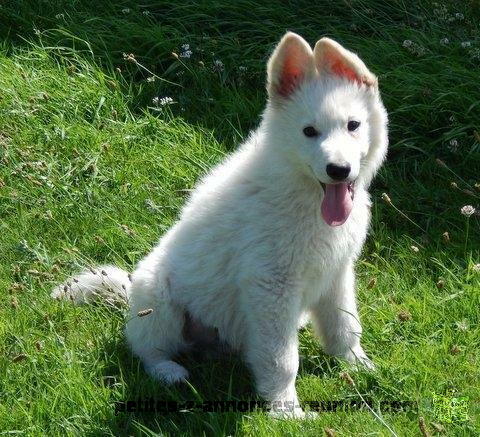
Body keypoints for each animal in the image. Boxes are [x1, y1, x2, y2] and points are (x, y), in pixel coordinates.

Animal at [52, 33, 388, 416]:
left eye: (353, 125)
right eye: (309, 132)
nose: (339, 170)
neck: (304, 195)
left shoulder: (337, 272)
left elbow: (344, 325)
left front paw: (358, 365)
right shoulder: (271, 285)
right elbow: (282, 358)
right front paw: (286, 411)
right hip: (159, 302)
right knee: (145, 349)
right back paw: (168, 371)